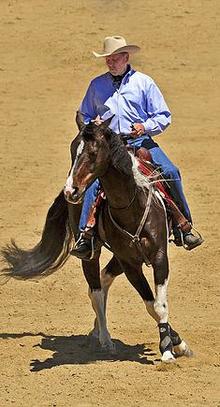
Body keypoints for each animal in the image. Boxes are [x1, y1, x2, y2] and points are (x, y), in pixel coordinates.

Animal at [0, 114, 192, 364]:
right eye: (73, 149)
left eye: (92, 152)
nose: (70, 191)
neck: (131, 206)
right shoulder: (130, 264)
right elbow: (152, 306)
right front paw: (169, 346)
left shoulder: (159, 257)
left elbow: (160, 303)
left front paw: (173, 347)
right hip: (92, 255)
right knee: (96, 290)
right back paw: (104, 339)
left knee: (103, 281)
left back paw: (97, 330)